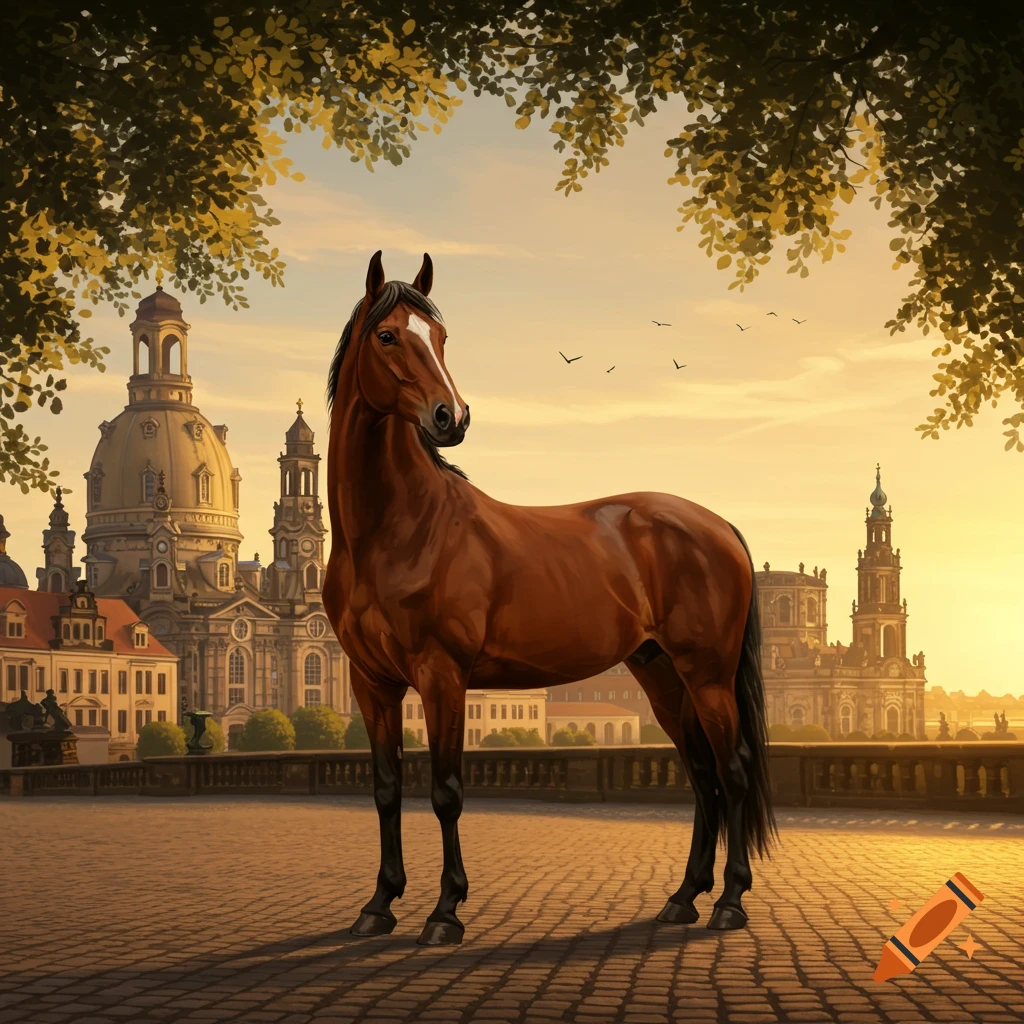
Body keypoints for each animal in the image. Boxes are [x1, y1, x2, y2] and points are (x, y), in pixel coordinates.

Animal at [322, 250, 777, 947]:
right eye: (388, 335)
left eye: (442, 336)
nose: (450, 417)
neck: (395, 528)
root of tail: (717, 524)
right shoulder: (370, 681)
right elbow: (386, 789)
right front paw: (378, 906)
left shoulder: (442, 674)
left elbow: (446, 790)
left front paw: (445, 912)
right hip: (661, 675)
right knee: (701, 775)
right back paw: (682, 898)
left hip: (707, 674)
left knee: (732, 770)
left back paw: (729, 901)